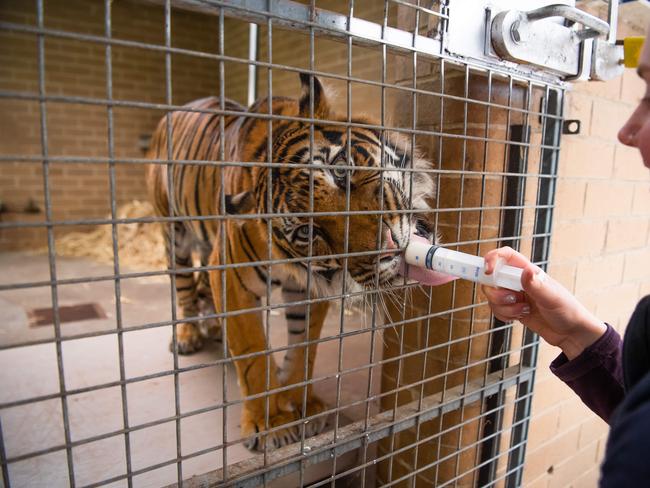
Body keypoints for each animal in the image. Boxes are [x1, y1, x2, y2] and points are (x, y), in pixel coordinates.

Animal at [144, 74, 432, 452]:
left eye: (341, 171)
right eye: (308, 231)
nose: (387, 249)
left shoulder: (306, 287)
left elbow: (304, 348)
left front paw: (302, 406)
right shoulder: (232, 278)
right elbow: (252, 353)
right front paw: (272, 425)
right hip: (173, 232)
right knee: (184, 287)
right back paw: (189, 335)